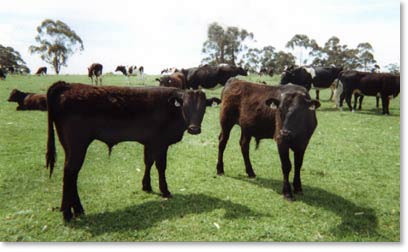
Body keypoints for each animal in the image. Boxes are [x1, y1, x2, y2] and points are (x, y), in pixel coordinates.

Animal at [44, 81, 215, 221]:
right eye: (186, 106)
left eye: (203, 108)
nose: (194, 129)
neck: (170, 109)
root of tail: (67, 85)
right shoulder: (161, 142)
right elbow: (160, 166)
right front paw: (165, 190)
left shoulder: (150, 142)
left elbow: (148, 162)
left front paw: (146, 186)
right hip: (77, 144)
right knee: (70, 172)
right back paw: (68, 213)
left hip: (69, 146)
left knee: (71, 174)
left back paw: (75, 209)